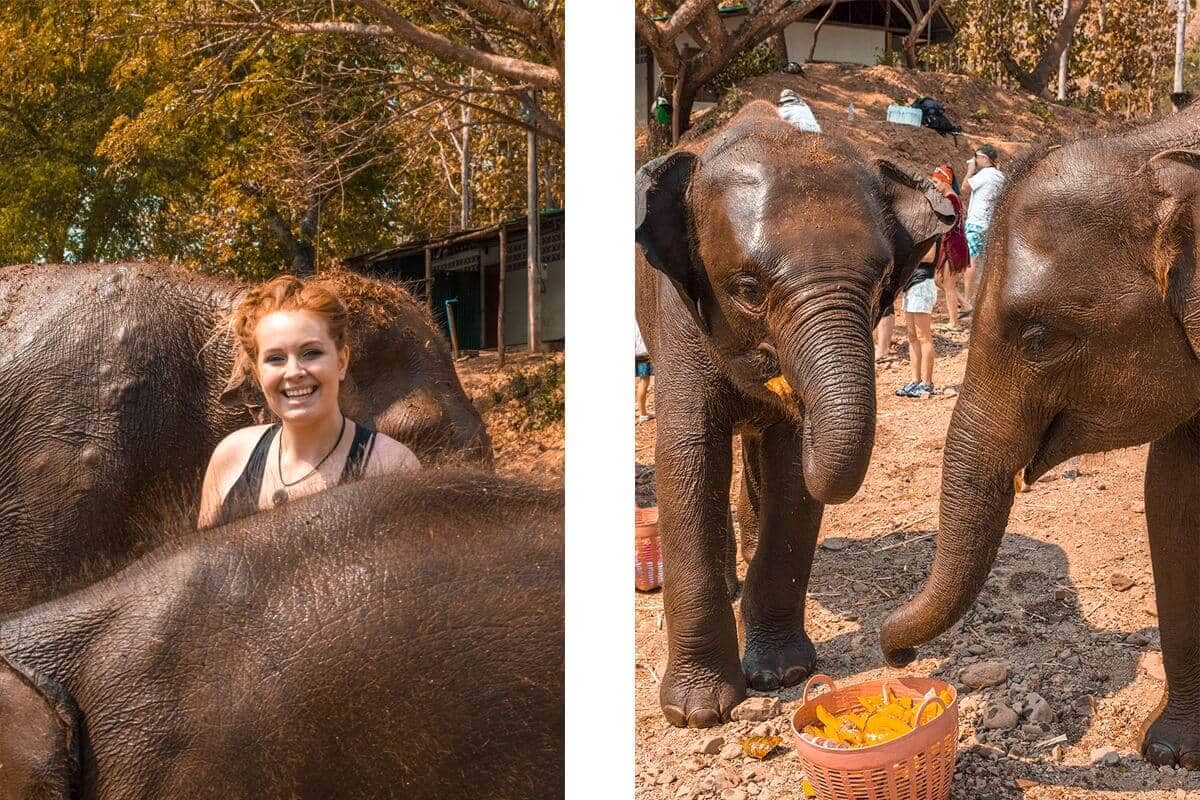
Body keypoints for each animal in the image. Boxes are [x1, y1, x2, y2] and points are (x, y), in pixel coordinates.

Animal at [635, 100, 954, 727]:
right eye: (748, 289)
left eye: (882, 282)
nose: (902, 656)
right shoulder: (677, 312)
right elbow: (688, 457)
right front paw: (698, 713)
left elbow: (788, 473)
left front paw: (783, 676)